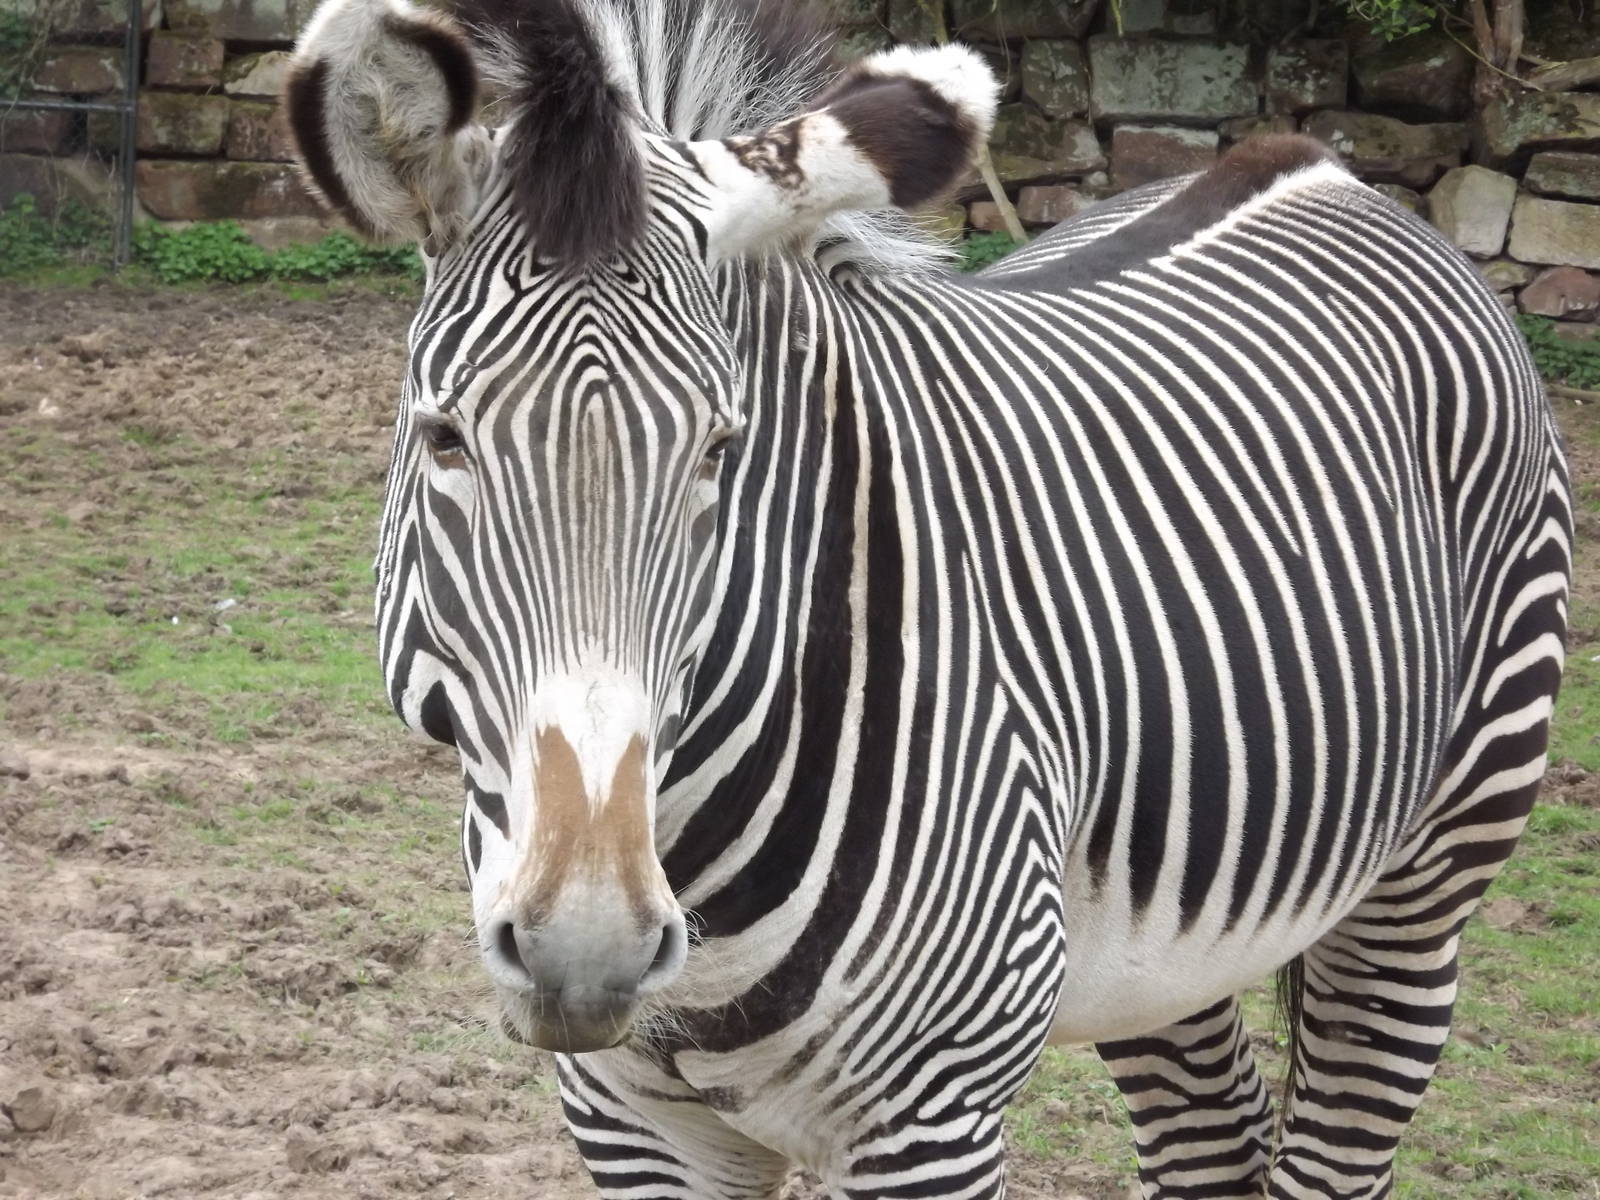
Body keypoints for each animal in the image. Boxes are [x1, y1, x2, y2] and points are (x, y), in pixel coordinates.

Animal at [285, 0, 1571, 1196]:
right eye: (443, 438)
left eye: (721, 450)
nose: (584, 950)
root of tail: (1316, 164)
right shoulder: (630, 1120)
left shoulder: (930, 1123)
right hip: (1164, 937)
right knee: (1215, 1137)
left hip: (1429, 871)